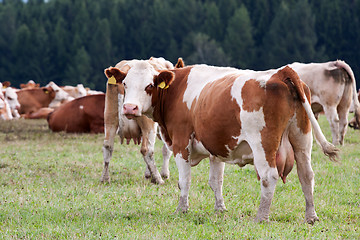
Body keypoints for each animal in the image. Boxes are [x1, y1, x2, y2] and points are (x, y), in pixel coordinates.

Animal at [103, 61, 338, 223]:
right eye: (125, 84)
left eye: (149, 86)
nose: (130, 108)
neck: (175, 91)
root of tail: (282, 72)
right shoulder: (216, 149)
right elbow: (216, 181)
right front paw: (220, 208)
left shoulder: (181, 143)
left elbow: (184, 181)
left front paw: (182, 209)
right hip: (301, 139)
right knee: (307, 175)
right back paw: (311, 216)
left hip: (263, 144)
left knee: (269, 176)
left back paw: (261, 217)